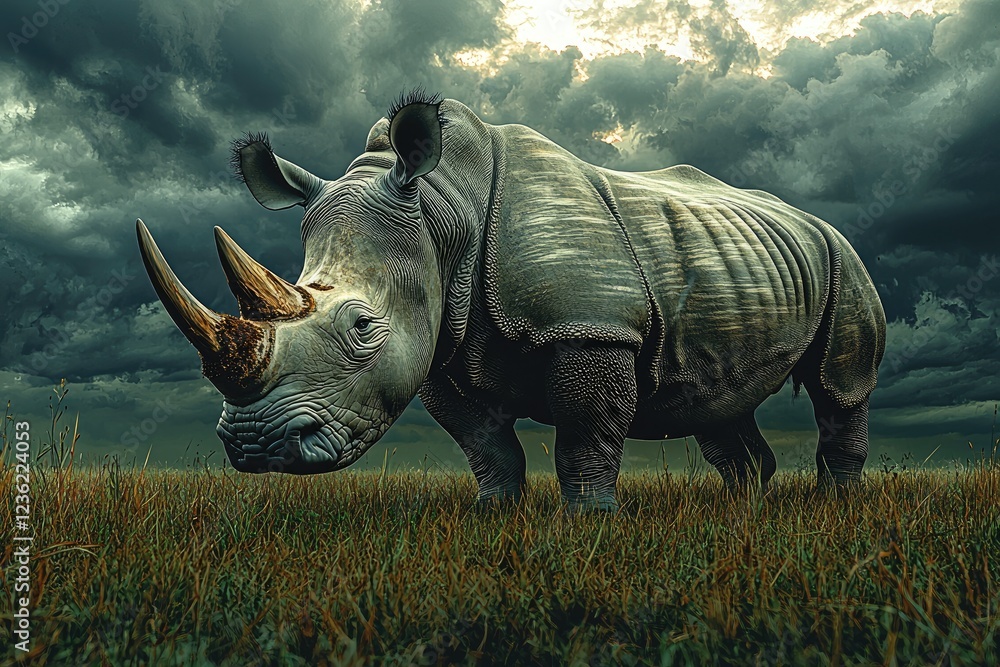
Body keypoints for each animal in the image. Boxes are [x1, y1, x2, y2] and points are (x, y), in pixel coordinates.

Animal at [137, 91, 885, 511]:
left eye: (362, 326)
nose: (257, 445)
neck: (443, 211)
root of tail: (811, 219)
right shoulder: (440, 344)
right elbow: (483, 443)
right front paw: (493, 512)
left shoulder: (591, 324)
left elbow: (586, 430)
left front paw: (590, 521)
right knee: (718, 402)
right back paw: (744, 512)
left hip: (844, 257)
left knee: (839, 385)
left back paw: (835, 509)